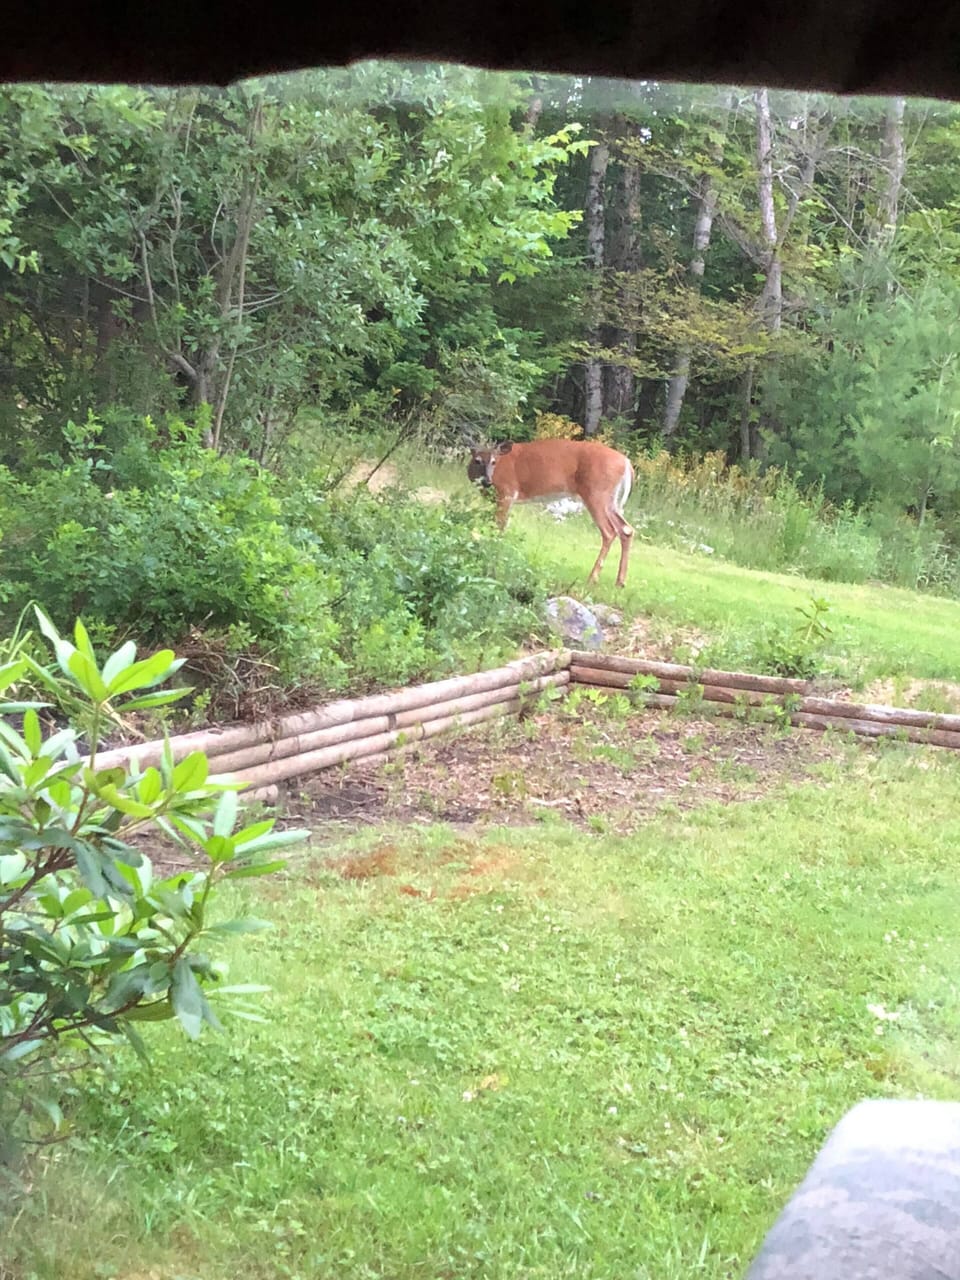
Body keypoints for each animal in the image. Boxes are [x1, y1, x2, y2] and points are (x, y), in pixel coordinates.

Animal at [467, 438, 635, 587]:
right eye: (477, 460)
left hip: (596, 492)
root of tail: (627, 463)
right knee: (626, 529)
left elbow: (499, 525)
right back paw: (620, 582)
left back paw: (592, 579)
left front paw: (493, 550)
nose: (487, 481)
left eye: (494, 462)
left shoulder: (507, 492)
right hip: (611, 500)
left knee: (609, 531)